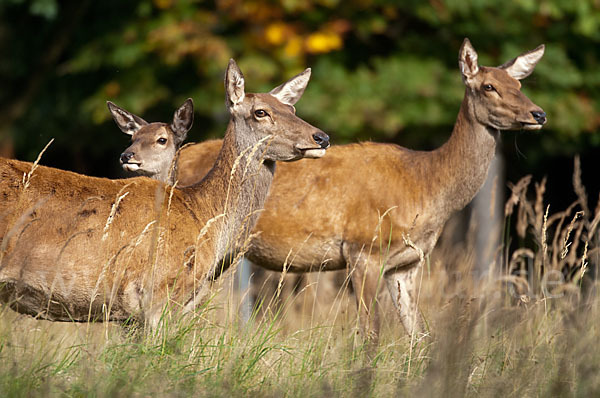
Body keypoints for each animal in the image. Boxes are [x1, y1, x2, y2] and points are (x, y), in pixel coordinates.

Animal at [111, 39, 544, 342]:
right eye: (488, 86)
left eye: (519, 83)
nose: (538, 113)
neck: (426, 185)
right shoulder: (362, 249)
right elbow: (369, 336)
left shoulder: (408, 263)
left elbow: (419, 335)